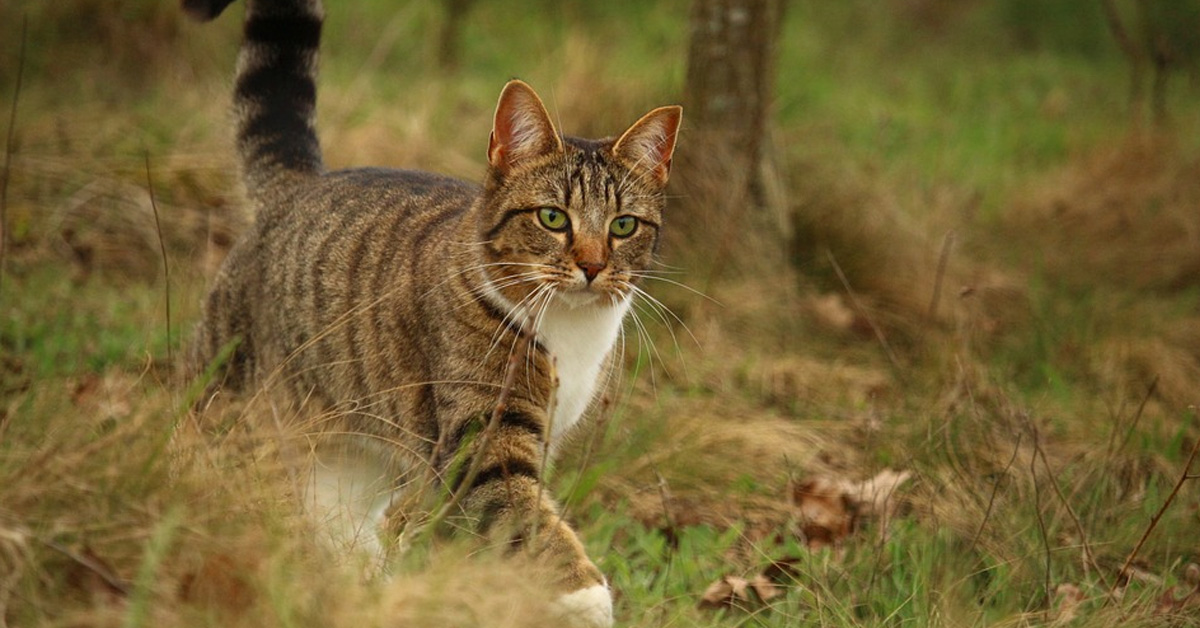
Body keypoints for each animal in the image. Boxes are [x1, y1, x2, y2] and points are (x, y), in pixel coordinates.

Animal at [183, 0, 681, 624]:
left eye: (623, 226)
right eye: (552, 218)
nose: (592, 266)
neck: (571, 330)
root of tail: (297, 184)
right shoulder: (482, 443)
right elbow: (528, 519)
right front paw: (585, 599)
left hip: (353, 451)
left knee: (338, 520)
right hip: (228, 391)